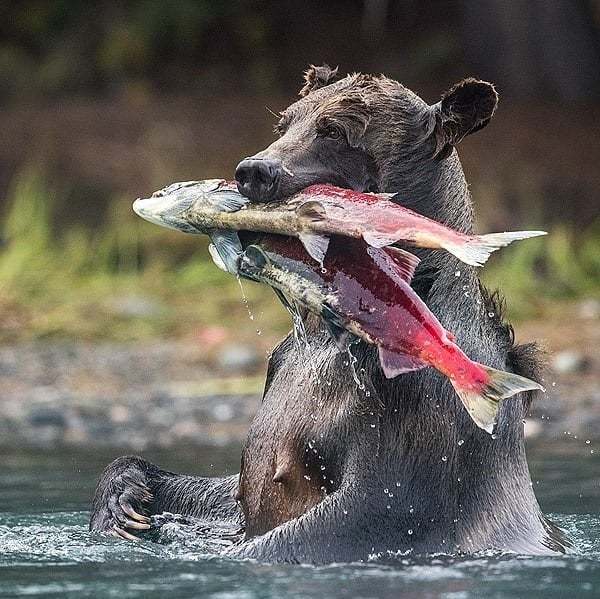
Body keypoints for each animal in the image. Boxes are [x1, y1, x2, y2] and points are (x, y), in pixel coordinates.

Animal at [89, 68, 568, 564]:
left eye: (336, 131)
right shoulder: (285, 364)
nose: (254, 171)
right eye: (285, 124)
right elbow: (230, 491)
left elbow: (373, 506)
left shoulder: (418, 406)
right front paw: (125, 499)